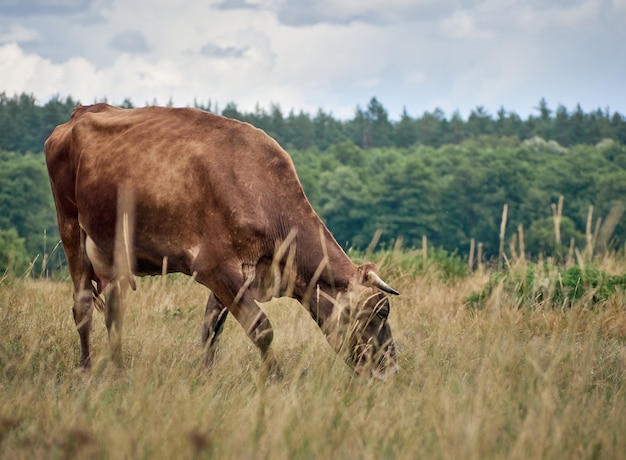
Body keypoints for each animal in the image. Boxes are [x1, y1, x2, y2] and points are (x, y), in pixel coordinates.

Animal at [44, 103, 398, 378]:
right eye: (381, 313)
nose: (392, 370)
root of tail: (82, 112)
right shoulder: (214, 268)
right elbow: (261, 327)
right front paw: (277, 380)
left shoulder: (235, 275)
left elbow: (210, 331)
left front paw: (204, 378)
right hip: (70, 225)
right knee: (82, 306)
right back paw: (86, 370)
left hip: (113, 249)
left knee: (114, 311)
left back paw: (118, 371)